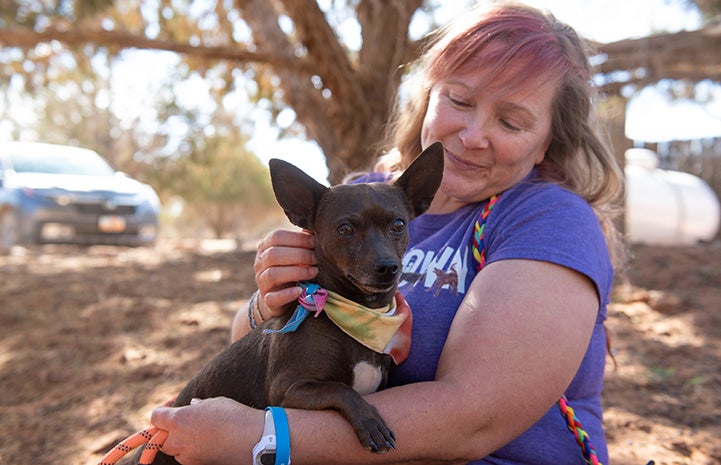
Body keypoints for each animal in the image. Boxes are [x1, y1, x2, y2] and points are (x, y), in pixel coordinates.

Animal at [139, 142, 444, 464]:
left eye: (399, 225)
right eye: (345, 229)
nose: (387, 267)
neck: (358, 316)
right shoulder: (287, 390)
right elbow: (341, 389)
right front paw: (370, 422)